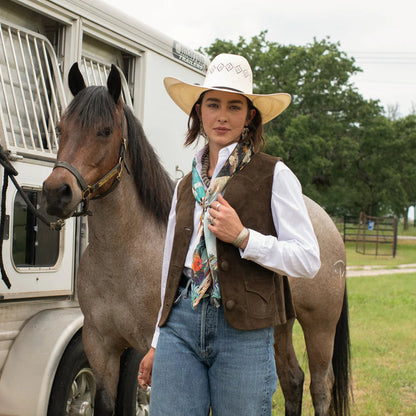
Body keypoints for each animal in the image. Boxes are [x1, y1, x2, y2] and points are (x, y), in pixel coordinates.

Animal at [42, 63, 350, 414]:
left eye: (105, 131)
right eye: (60, 128)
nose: (56, 192)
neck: (123, 260)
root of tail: (327, 223)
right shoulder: (101, 348)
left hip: (320, 328)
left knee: (320, 387)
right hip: (280, 326)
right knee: (293, 380)